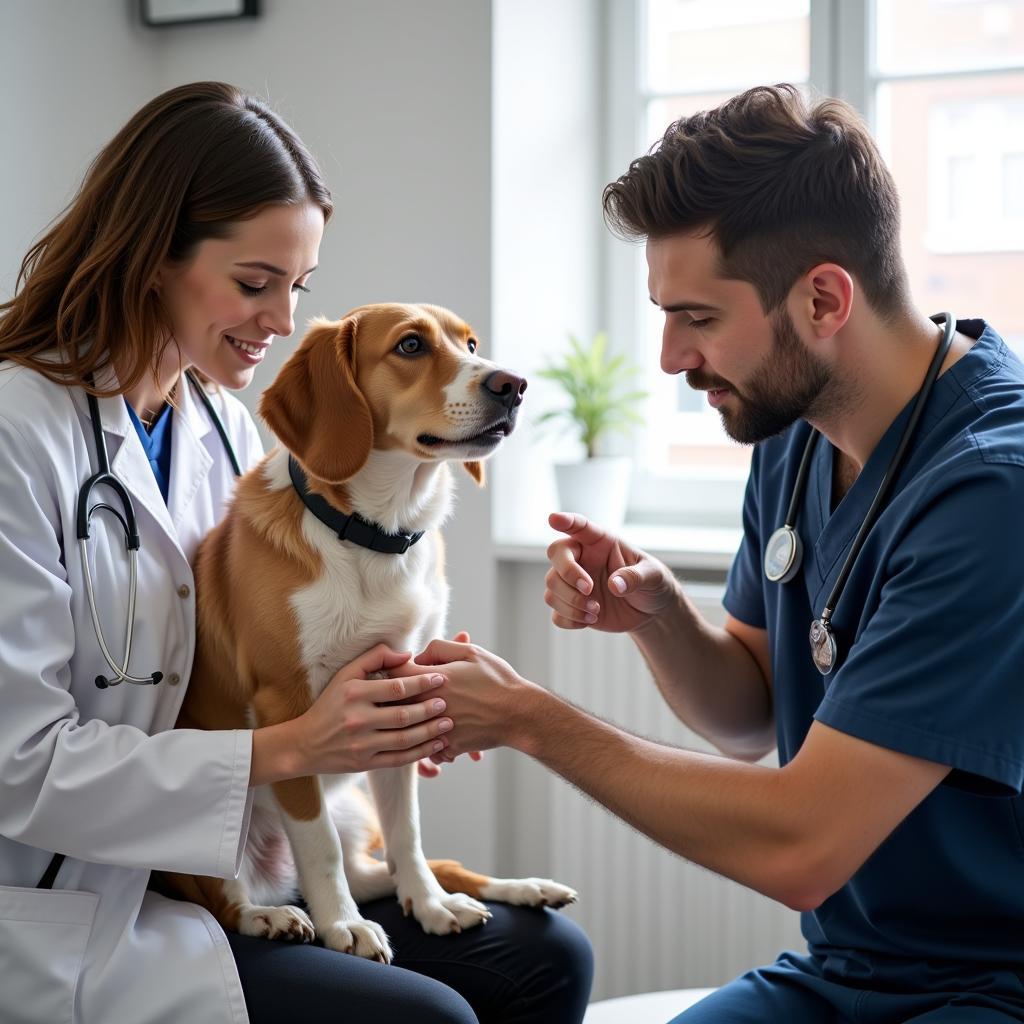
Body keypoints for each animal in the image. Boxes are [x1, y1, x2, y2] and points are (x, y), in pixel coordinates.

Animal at [163, 301, 573, 958]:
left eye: (471, 343)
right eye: (410, 346)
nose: (513, 384)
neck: (376, 534)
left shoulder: (403, 695)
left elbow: (408, 832)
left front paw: (429, 905)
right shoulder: (286, 705)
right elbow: (319, 844)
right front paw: (343, 925)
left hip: (356, 809)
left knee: (408, 865)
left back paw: (508, 888)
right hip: (221, 834)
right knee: (228, 900)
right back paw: (272, 914)